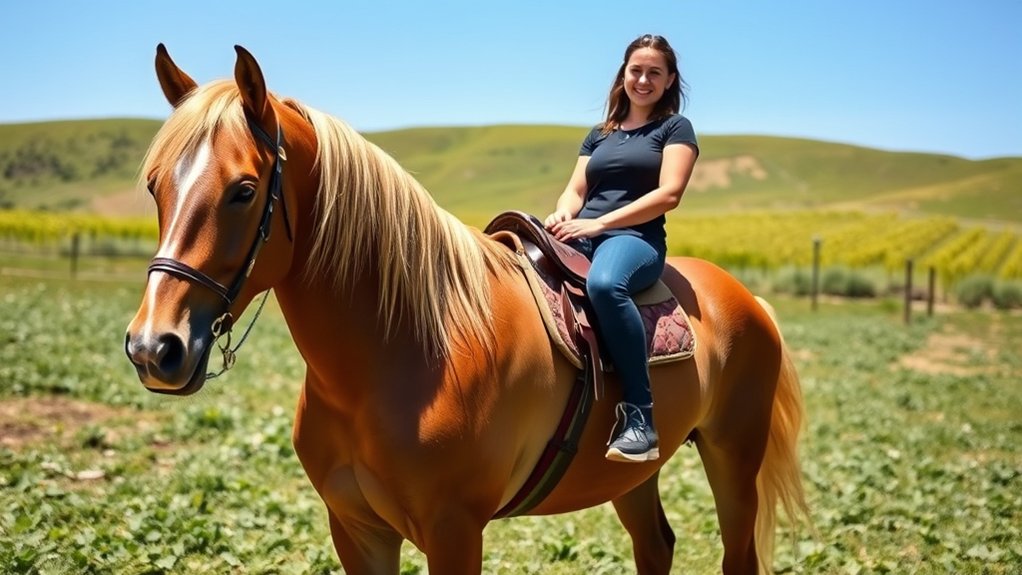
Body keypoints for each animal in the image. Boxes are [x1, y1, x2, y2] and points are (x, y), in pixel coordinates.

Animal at [124, 44, 809, 575]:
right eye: (155, 186)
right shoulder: (356, 530)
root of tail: (746, 298)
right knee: (656, 545)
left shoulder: (454, 531)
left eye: (243, 191)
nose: (154, 347)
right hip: (631, 477)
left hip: (733, 454)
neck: (404, 350)